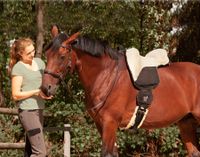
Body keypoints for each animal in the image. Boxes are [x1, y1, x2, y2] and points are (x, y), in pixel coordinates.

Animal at [41, 25, 200, 156]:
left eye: (62, 56)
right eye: (47, 54)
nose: (45, 88)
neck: (106, 74)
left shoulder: (110, 123)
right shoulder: (101, 124)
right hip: (186, 123)